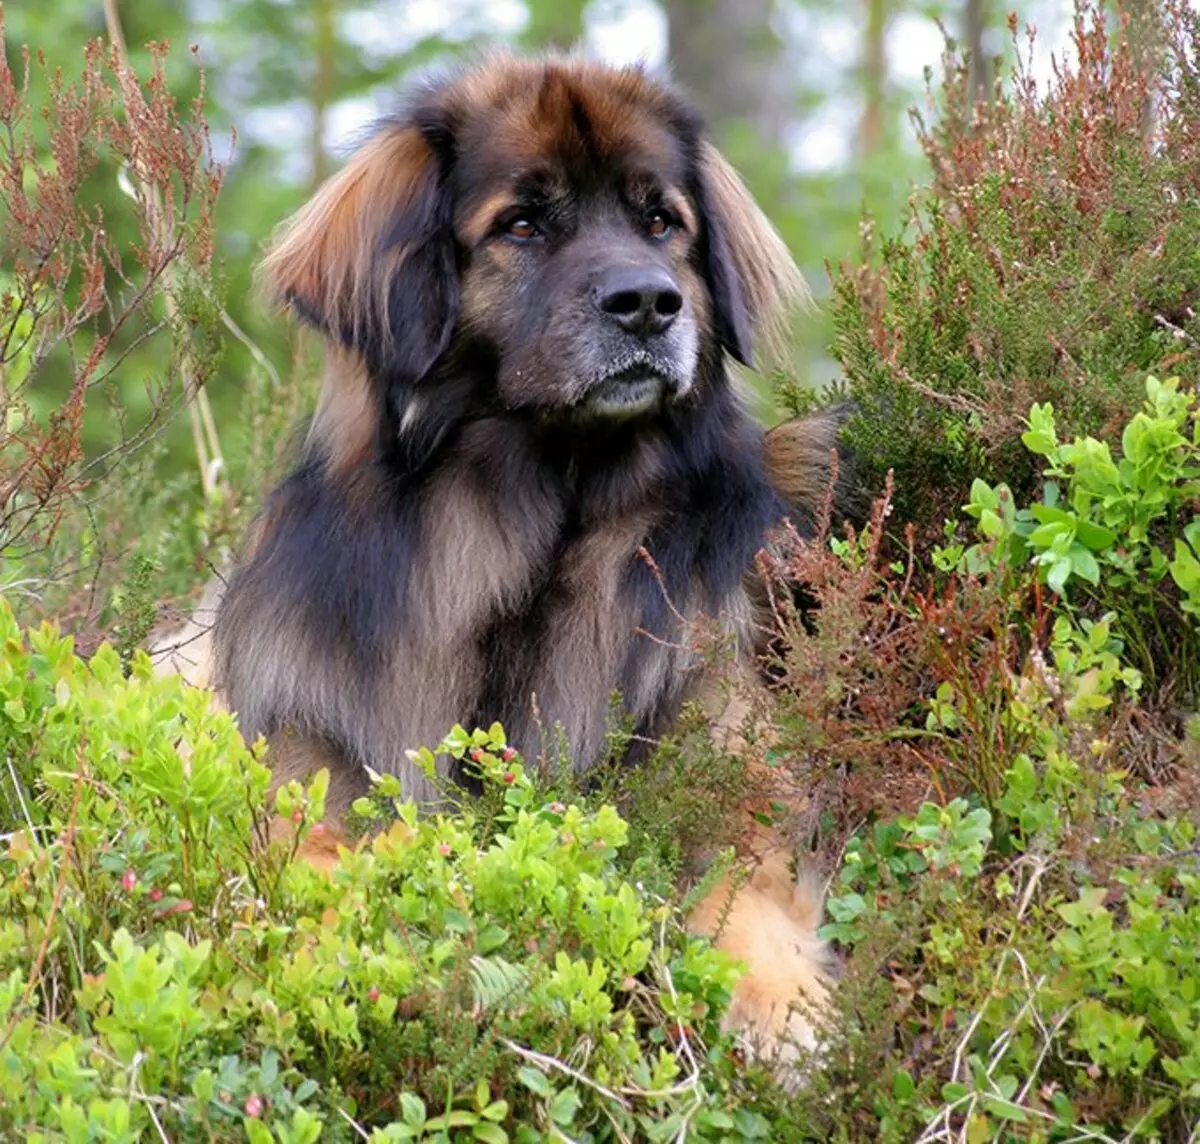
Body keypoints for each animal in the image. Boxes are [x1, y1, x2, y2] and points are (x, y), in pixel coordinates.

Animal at [157, 51, 854, 1080]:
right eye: (522, 224)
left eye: (662, 222)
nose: (650, 304)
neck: (544, 526)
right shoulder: (312, 766)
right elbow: (325, 864)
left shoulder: (716, 760)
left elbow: (746, 885)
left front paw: (784, 1007)